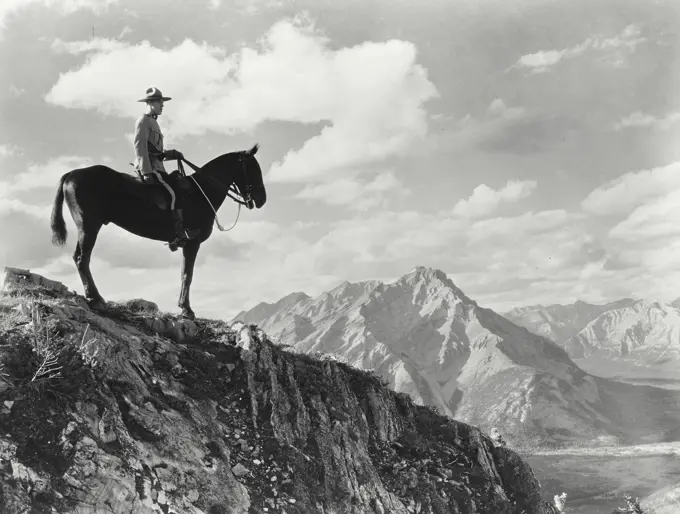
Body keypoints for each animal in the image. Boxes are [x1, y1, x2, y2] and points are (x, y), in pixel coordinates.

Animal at [49, 144, 266, 318]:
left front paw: (183, 306)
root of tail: (71, 174)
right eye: (253, 169)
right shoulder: (192, 242)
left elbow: (184, 273)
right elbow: (187, 275)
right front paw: (187, 310)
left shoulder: (187, 244)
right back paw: (95, 298)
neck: (201, 192)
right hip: (89, 226)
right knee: (82, 258)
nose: (262, 199)